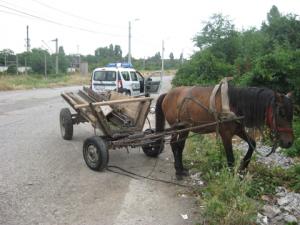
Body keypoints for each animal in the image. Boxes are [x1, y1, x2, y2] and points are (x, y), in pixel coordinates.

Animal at [156, 84, 294, 179]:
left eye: (292, 113)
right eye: (281, 113)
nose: (289, 142)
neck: (234, 105)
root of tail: (167, 94)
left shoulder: (239, 130)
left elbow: (252, 144)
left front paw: (243, 167)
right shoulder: (226, 135)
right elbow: (230, 159)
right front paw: (231, 178)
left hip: (183, 128)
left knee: (177, 145)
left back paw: (180, 168)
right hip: (180, 127)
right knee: (177, 145)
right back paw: (179, 171)